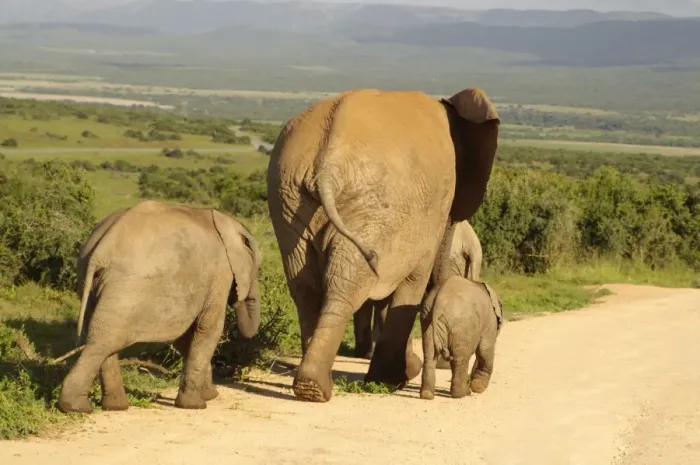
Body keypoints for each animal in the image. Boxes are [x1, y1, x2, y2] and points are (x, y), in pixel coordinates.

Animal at [57, 200, 262, 414]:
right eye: (257, 269)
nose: (239, 297)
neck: (227, 222)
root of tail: (100, 250)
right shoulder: (221, 273)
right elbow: (208, 329)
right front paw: (196, 405)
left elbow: (185, 337)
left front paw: (209, 395)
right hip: (128, 290)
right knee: (103, 341)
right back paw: (77, 407)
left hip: (91, 281)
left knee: (103, 339)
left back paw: (115, 406)